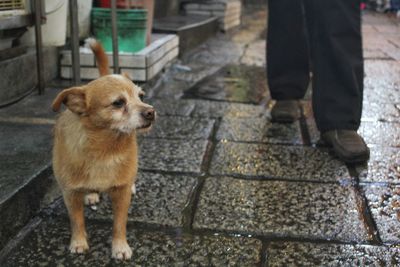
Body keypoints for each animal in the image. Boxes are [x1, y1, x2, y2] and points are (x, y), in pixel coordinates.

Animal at [51, 38, 155, 260]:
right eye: (118, 103)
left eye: (141, 96)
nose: (151, 112)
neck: (105, 149)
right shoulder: (70, 194)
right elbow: (77, 221)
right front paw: (78, 242)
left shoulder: (121, 196)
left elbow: (119, 224)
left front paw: (120, 247)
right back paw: (91, 194)